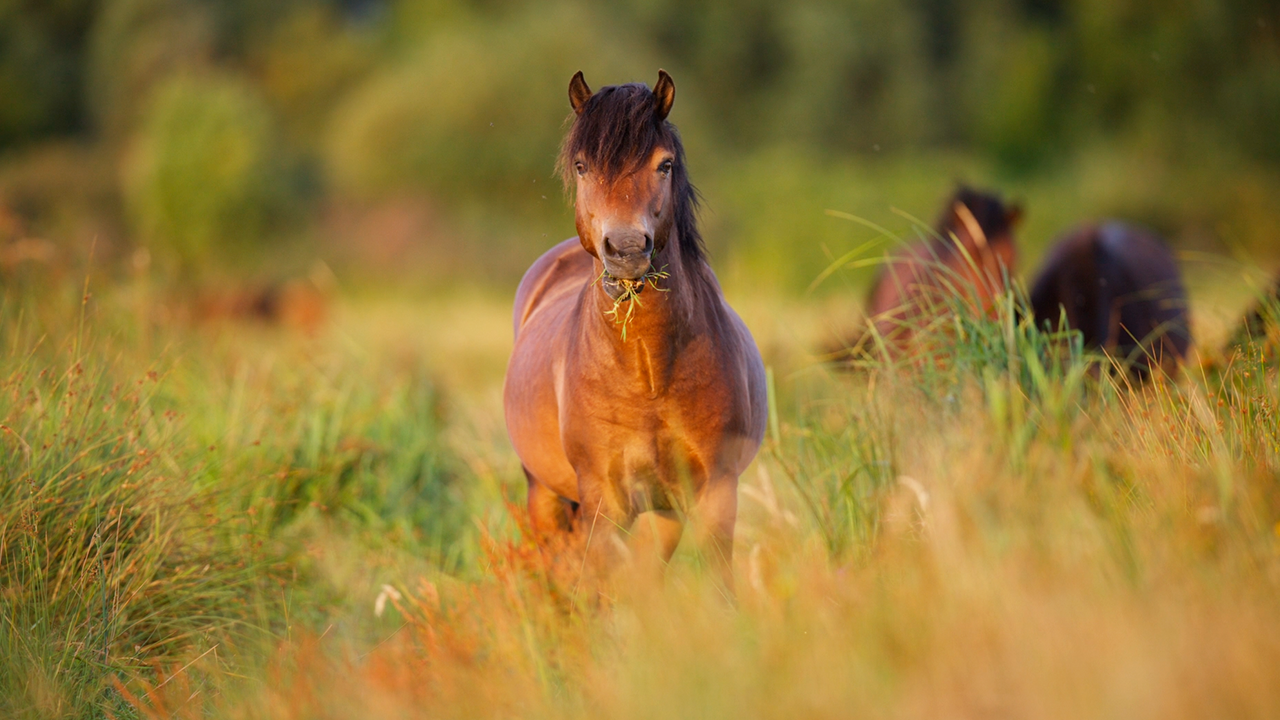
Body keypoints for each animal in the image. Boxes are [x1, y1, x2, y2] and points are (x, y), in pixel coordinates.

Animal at [502, 70, 767, 593]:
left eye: (664, 165)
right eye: (582, 166)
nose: (625, 249)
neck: (649, 373)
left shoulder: (714, 495)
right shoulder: (604, 502)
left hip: (664, 514)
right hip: (544, 494)